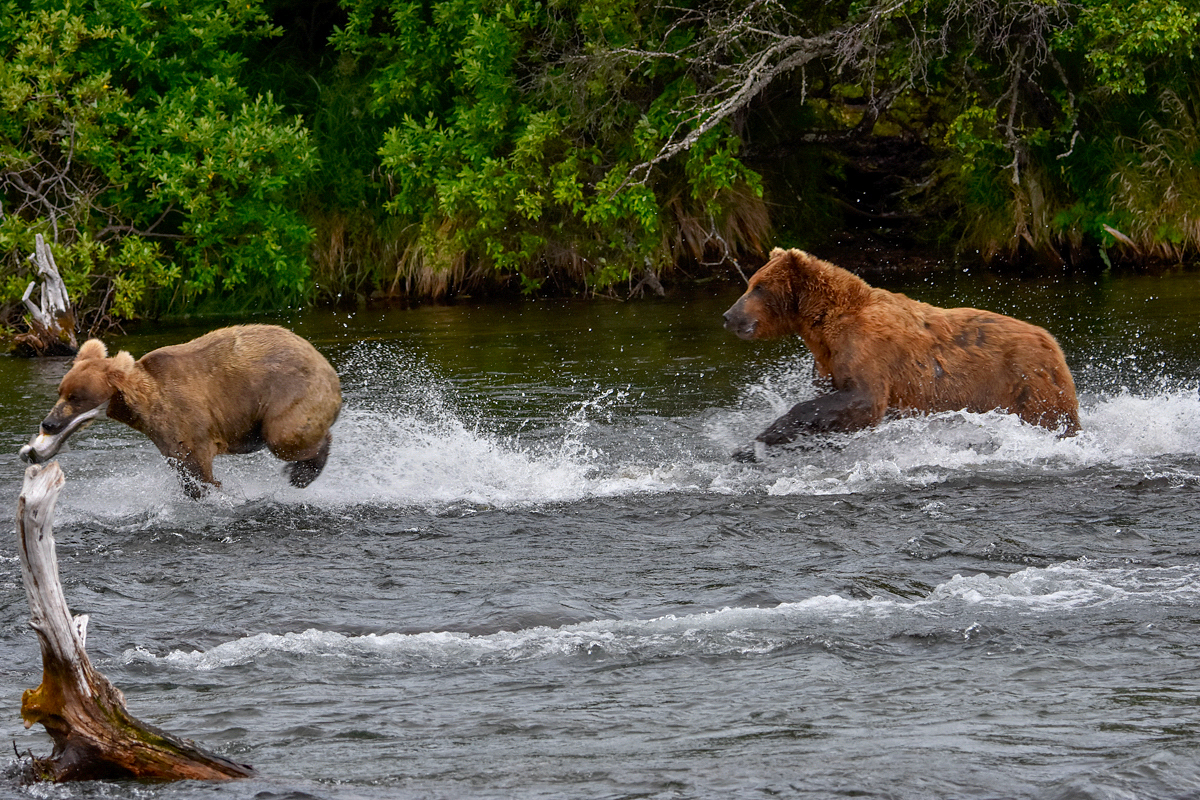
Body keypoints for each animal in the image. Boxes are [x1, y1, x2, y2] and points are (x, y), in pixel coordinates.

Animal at [19, 321, 343, 496]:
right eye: (61, 392)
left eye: (77, 398)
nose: (48, 423)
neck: (141, 404)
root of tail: (324, 362)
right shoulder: (164, 434)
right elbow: (183, 468)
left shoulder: (184, 418)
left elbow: (197, 467)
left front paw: (215, 492)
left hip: (290, 393)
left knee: (285, 435)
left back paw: (302, 472)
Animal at [720, 245, 1080, 455]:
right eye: (750, 283)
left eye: (758, 287)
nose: (728, 316)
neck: (823, 325)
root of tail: (1052, 341)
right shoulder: (828, 359)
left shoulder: (867, 349)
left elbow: (862, 399)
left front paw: (765, 435)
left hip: (1026, 383)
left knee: (1052, 419)